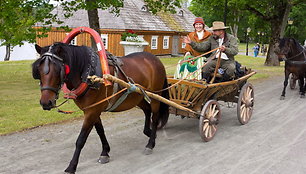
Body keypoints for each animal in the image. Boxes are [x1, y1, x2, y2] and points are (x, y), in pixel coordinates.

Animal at [32, 42, 169, 174]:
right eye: (38, 70)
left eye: (57, 70)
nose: (46, 102)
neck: (88, 75)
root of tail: (155, 59)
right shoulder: (92, 110)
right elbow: (100, 131)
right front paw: (105, 152)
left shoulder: (92, 111)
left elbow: (81, 139)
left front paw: (72, 166)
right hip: (137, 97)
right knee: (147, 110)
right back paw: (148, 132)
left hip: (155, 96)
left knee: (155, 117)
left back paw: (150, 144)